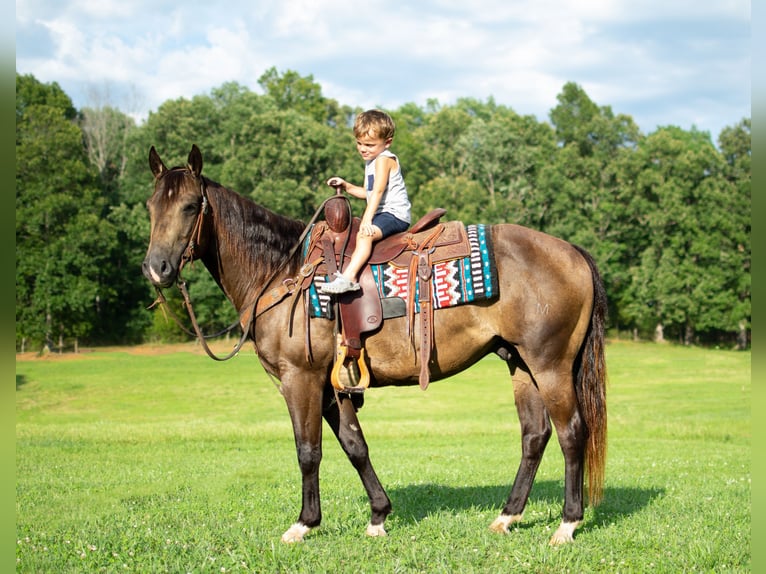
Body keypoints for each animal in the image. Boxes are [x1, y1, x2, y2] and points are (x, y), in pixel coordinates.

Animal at [141, 146, 608, 548]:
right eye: (151, 206)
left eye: (190, 206)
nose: (157, 268)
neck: (282, 272)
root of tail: (572, 252)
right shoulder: (335, 385)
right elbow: (355, 446)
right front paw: (379, 516)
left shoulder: (300, 379)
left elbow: (308, 451)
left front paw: (303, 524)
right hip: (520, 364)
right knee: (535, 435)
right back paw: (507, 516)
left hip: (550, 365)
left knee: (571, 433)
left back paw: (567, 524)